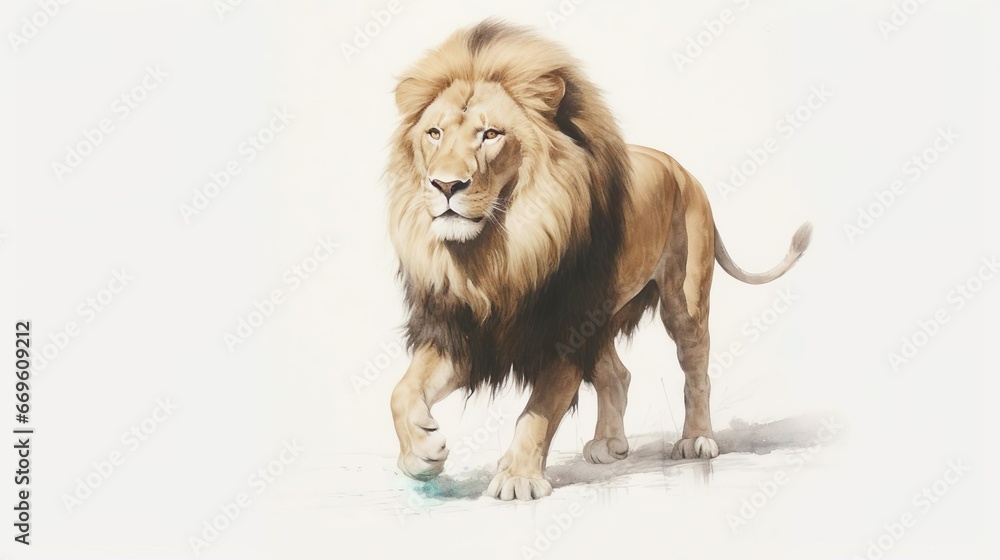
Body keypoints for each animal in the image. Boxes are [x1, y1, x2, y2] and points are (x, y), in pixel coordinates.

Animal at [386, 20, 811, 501]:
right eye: (434, 134)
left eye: (491, 134)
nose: (445, 185)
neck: (499, 253)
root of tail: (683, 171)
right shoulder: (464, 330)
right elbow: (402, 391)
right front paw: (421, 454)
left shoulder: (564, 333)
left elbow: (538, 412)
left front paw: (518, 478)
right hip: (603, 315)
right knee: (618, 375)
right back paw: (609, 444)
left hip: (683, 301)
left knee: (696, 368)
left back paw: (697, 440)